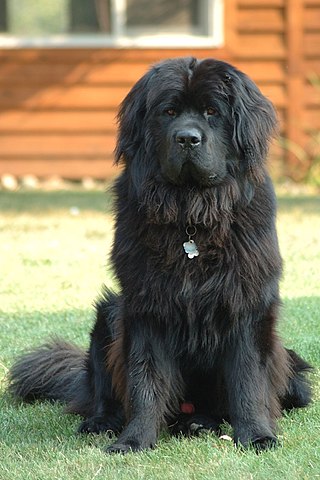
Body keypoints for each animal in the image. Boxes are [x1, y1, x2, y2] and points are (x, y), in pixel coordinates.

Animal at [8, 58, 312, 452]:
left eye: (212, 112)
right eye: (168, 112)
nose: (187, 138)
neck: (191, 218)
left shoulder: (247, 305)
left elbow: (249, 378)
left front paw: (257, 435)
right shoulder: (146, 306)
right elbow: (145, 380)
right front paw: (134, 440)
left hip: (292, 372)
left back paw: (199, 423)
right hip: (108, 316)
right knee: (102, 389)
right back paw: (103, 422)